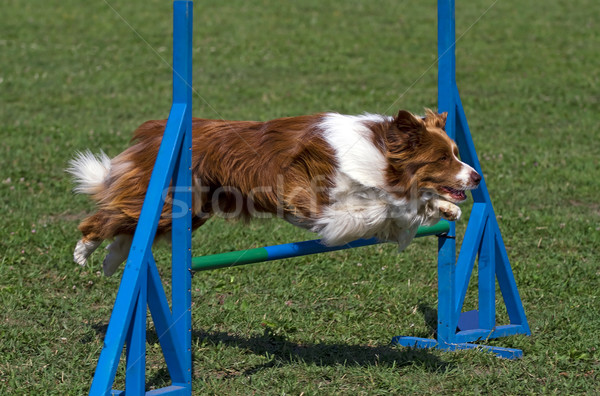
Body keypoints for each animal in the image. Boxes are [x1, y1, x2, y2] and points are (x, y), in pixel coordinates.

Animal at [67, 108, 478, 276]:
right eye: (442, 157)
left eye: (457, 152)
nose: (476, 178)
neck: (380, 155)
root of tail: (156, 131)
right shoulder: (309, 197)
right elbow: (378, 210)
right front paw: (415, 208)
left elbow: (404, 206)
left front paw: (444, 208)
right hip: (172, 200)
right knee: (110, 216)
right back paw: (85, 252)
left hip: (192, 208)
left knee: (131, 225)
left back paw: (111, 261)